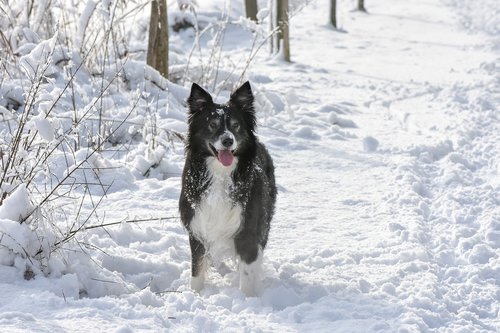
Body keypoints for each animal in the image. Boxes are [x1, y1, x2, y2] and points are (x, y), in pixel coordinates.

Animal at [179, 81, 278, 296]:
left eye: (235, 125)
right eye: (212, 125)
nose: (228, 140)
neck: (221, 174)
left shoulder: (248, 231)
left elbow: (248, 274)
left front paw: (247, 300)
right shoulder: (197, 228)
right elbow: (196, 271)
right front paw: (195, 295)